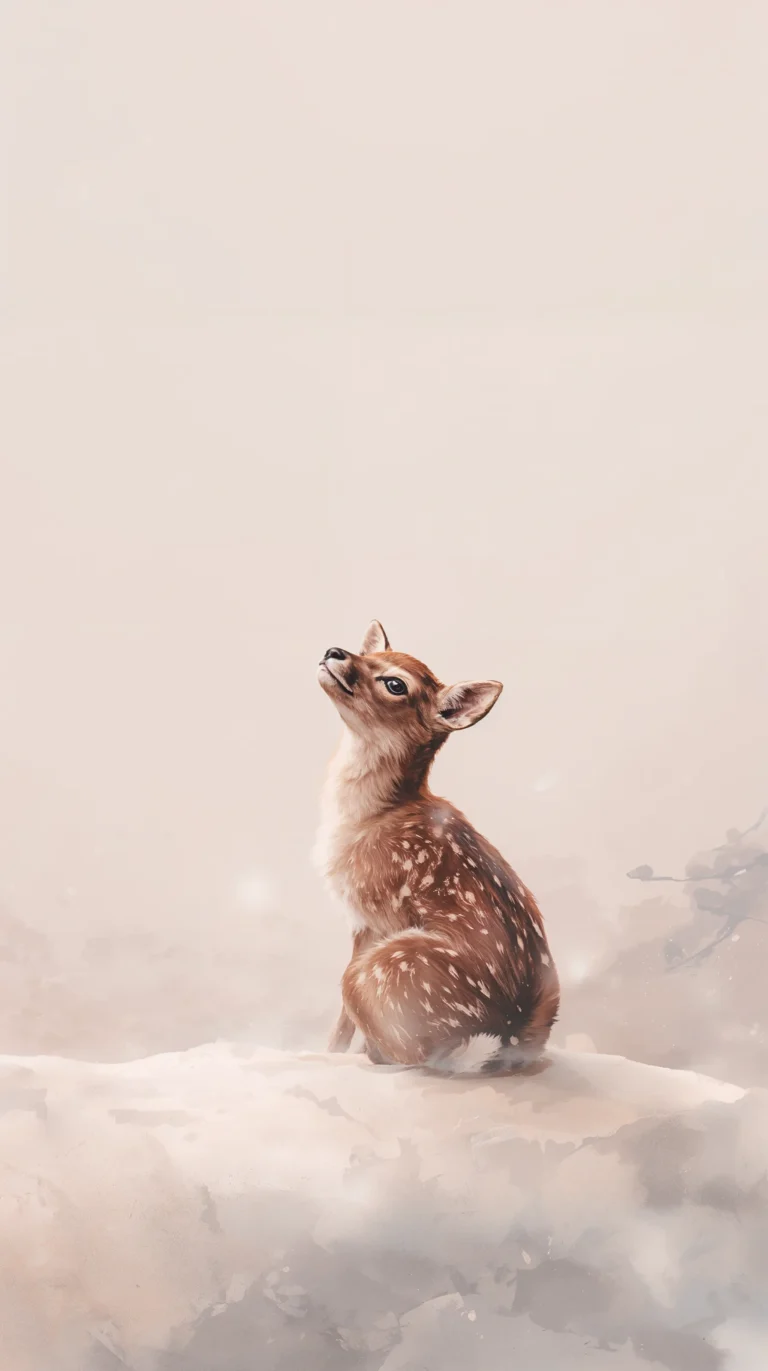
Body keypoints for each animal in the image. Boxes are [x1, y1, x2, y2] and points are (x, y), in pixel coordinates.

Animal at [314, 621, 559, 1076]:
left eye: (395, 683)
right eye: (366, 653)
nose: (334, 651)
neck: (370, 817)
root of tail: (511, 1031)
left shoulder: (377, 915)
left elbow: (344, 1021)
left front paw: (330, 1055)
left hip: (383, 967)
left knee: (407, 1050)